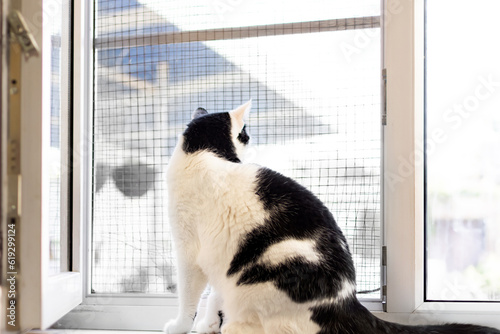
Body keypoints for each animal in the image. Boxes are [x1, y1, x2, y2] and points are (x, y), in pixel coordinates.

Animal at [164, 102, 500, 334]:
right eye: (245, 134)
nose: (251, 141)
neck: (202, 153)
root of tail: (346, 300)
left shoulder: (189, 254)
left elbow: (191, 297)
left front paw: (181, 325)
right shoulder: (213, 258)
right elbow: (211, 297)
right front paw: (205, 325)